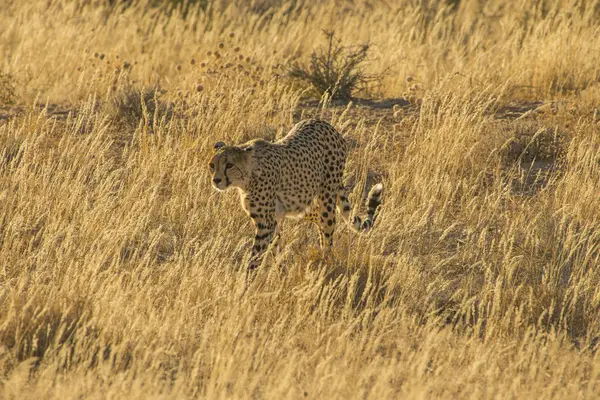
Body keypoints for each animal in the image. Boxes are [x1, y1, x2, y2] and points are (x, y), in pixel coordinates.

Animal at [209, 119, 382, 272]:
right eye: (212, 165)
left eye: (229, 165)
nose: (216, 180)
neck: (247, 177)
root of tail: (324, 123)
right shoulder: (271, 221)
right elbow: (275, 248)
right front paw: (281, 272)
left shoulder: (266, 223)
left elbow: (256, 257)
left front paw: (246, 283)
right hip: (300, 204)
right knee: (318, 217)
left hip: (325, 198)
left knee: (327, 228)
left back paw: (326, 261)